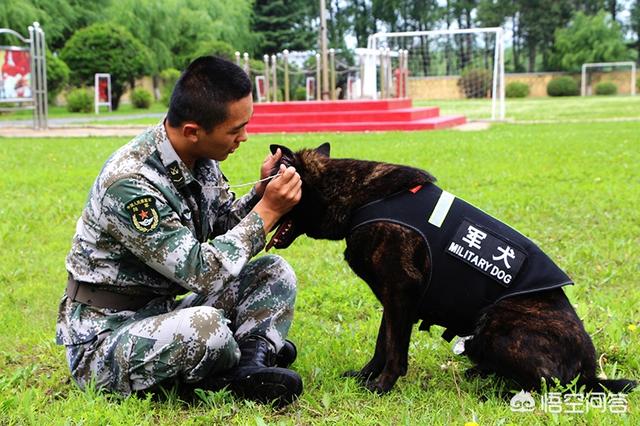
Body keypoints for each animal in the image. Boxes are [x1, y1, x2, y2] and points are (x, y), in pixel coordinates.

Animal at [266, 143, 636, 396]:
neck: (360, 196)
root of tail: (589, 369)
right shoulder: (395, 301)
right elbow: (383, 344)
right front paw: (365, 376)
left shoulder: (400, 294)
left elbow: (394, 350)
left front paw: (383, 386)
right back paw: (483, 376)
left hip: (495, 326)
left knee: (548, 384)